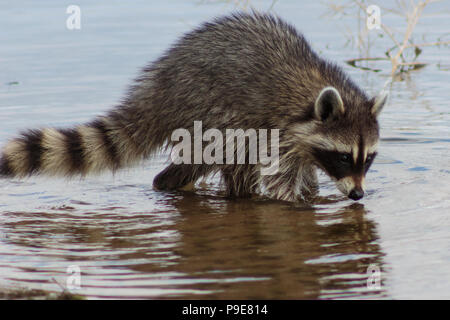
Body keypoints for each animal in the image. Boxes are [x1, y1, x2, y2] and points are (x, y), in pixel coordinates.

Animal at [0, 13, 386, 202]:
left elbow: (304, 172)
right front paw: (299, 201)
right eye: (342, 157)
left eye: (368, 159)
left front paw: (314, 191)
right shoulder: (277, 130)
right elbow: (279, 177)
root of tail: (160, 88)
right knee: (226, 159)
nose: (357, 195)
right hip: (209, 118)